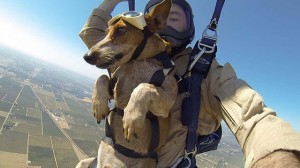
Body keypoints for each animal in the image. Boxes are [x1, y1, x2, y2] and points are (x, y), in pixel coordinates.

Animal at [81, 0, 177, 167]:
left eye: (121, 30)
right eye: (106, 32)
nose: (87, 56)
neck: (139, 61)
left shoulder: (166, 102)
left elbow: (143, 87)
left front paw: (132, 118)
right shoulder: (113, 85)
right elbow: (102, 77)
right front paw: (99, 105)